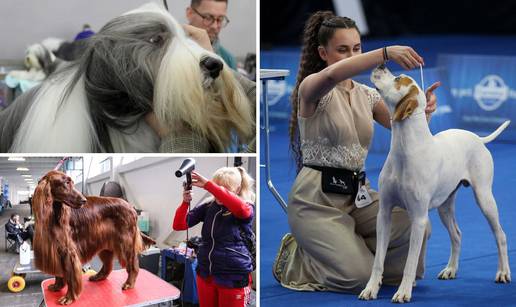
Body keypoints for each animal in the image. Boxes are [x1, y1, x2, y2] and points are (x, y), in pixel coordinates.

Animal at [33, 171, 155, 306]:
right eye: (66, 183)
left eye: (72, 182)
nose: (84, 200)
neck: (53, 213)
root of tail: (130, 207)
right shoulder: (55, 250)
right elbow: (58, 273)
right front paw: (57, 286)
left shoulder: (68, 251)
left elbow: (70, 276)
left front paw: (69, 297)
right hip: (105, 242)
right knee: (108, 265)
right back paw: (98, 277)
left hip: (125, 243)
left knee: (132, 264)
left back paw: (129, 283)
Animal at [358, 65, 512, 304]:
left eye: (398, 79)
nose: (381, 65)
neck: (404, 149)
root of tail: (478, 138)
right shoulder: (384, 214)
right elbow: (378, 261)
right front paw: (371, 288)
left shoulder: (419, 219)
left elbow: (410, 262)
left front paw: (403, 292)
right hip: (445, 206)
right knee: (457, 235)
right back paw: (450, 269)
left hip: (484, 198)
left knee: (501, 235)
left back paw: (503, 272)